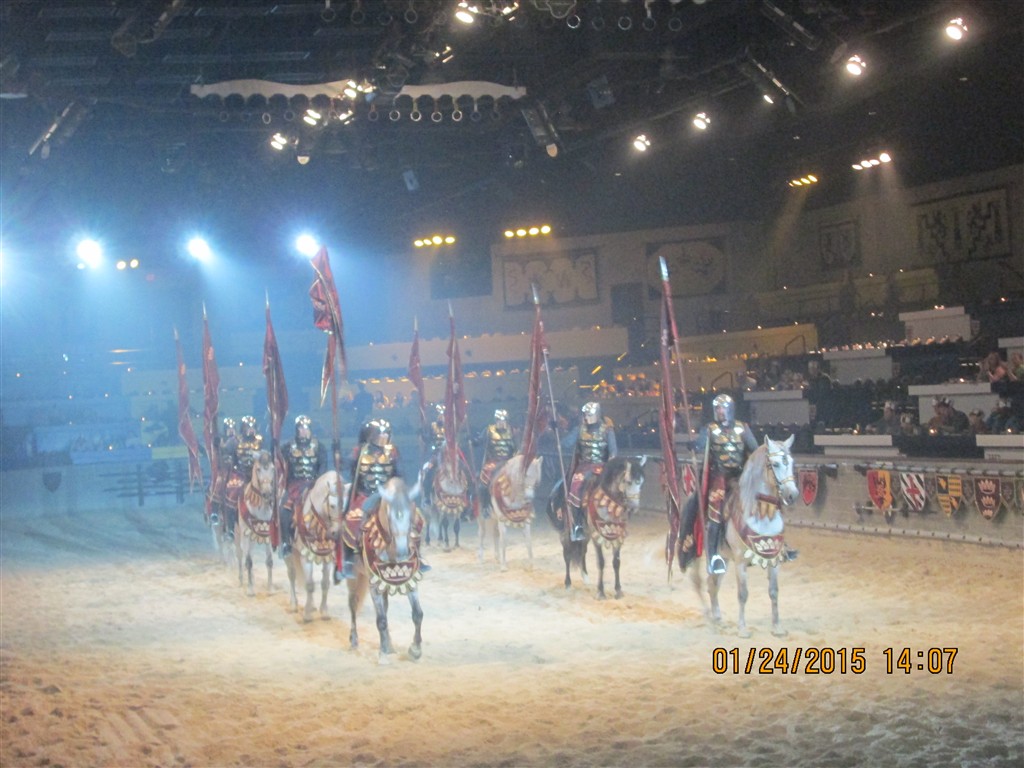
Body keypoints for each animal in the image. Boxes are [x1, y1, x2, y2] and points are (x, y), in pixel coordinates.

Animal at [234, 451, 282, 596]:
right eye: (258, 469)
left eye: (272, 469)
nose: (267, 494)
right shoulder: (245, 534)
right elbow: (249, 561)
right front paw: (250, 590)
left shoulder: (268, 535)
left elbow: (269, 561)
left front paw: (270, 588)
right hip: (238, 534)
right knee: (240, 554)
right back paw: (242, 580)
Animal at [285, 470, 346, 622]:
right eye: (332, 505)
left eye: (344, 505)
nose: (336, 533)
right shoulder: (305, 557)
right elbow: (309, 584)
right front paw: (307, 615)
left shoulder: (328, 558)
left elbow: (324, 584)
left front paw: (324, 611)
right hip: (287, 551)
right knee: (292, 574)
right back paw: (294, 604)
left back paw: (311, 605)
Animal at [346, 476, 427, 664]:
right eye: (389, 517)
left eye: (411, 515)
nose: (403, 552)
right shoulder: (373, 585)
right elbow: (381, 620)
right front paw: (382, 654)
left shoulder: (410, 581)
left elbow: (417, 614)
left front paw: (415, 649)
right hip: (354, 576)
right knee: (353, 603)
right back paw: (354, 639)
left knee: (384, 606)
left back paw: (389, 644)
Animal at [547, 455, 647, 599]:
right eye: (628, 482)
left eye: (641, 484)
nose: (634, 508)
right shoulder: (597, 535)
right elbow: (601, 562)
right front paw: (601, 592)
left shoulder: (616, 536)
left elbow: (616, 562)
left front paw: (618, 590)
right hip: (566, 533)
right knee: (567, 555)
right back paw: (568, 583)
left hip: (586, 534)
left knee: (582, 551)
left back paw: (585, 578)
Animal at [692, 434, 799, 637]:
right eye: (774, 464)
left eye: (790, 462)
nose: (792, 495)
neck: (761, 514)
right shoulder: (740, 561)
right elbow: (743, 594)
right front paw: (742, 629)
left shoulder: (774, 560)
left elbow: (774, 591)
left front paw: (777, 627)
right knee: (699, 582)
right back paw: (709, 615)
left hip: (724, 560)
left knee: (712, 584)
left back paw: (717, 616)